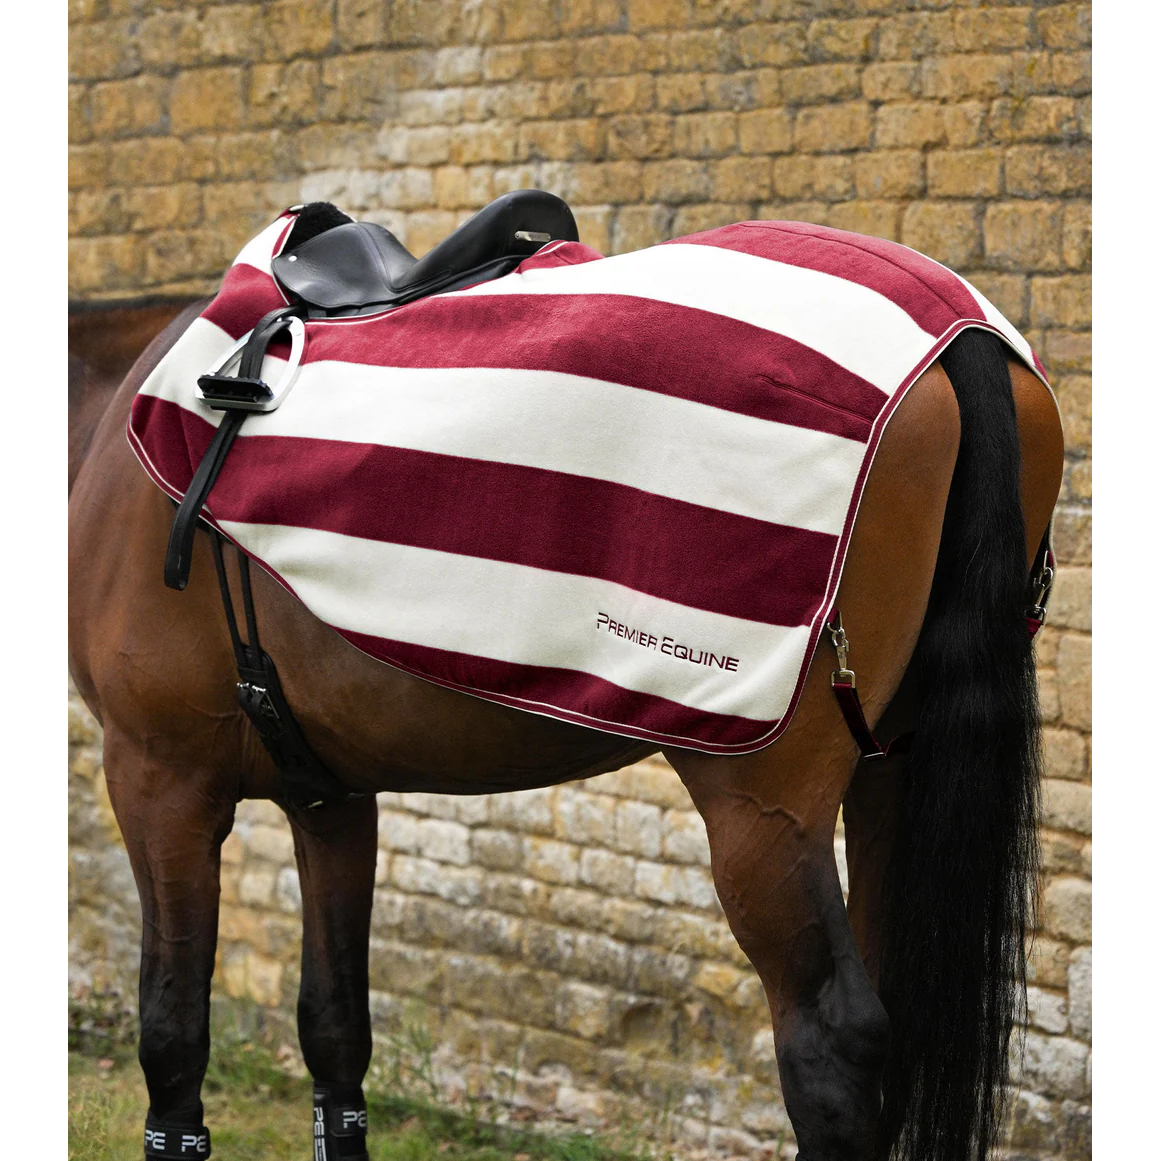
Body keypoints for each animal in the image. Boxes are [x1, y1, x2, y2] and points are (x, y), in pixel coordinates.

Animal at [68, 205, 1064, 1161]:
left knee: (834, 1044)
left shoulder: (158, 778)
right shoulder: (331, 795)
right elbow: (335, 1031)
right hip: (890, 771)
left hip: (765, 807)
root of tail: (955, 333)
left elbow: (172, 1035)